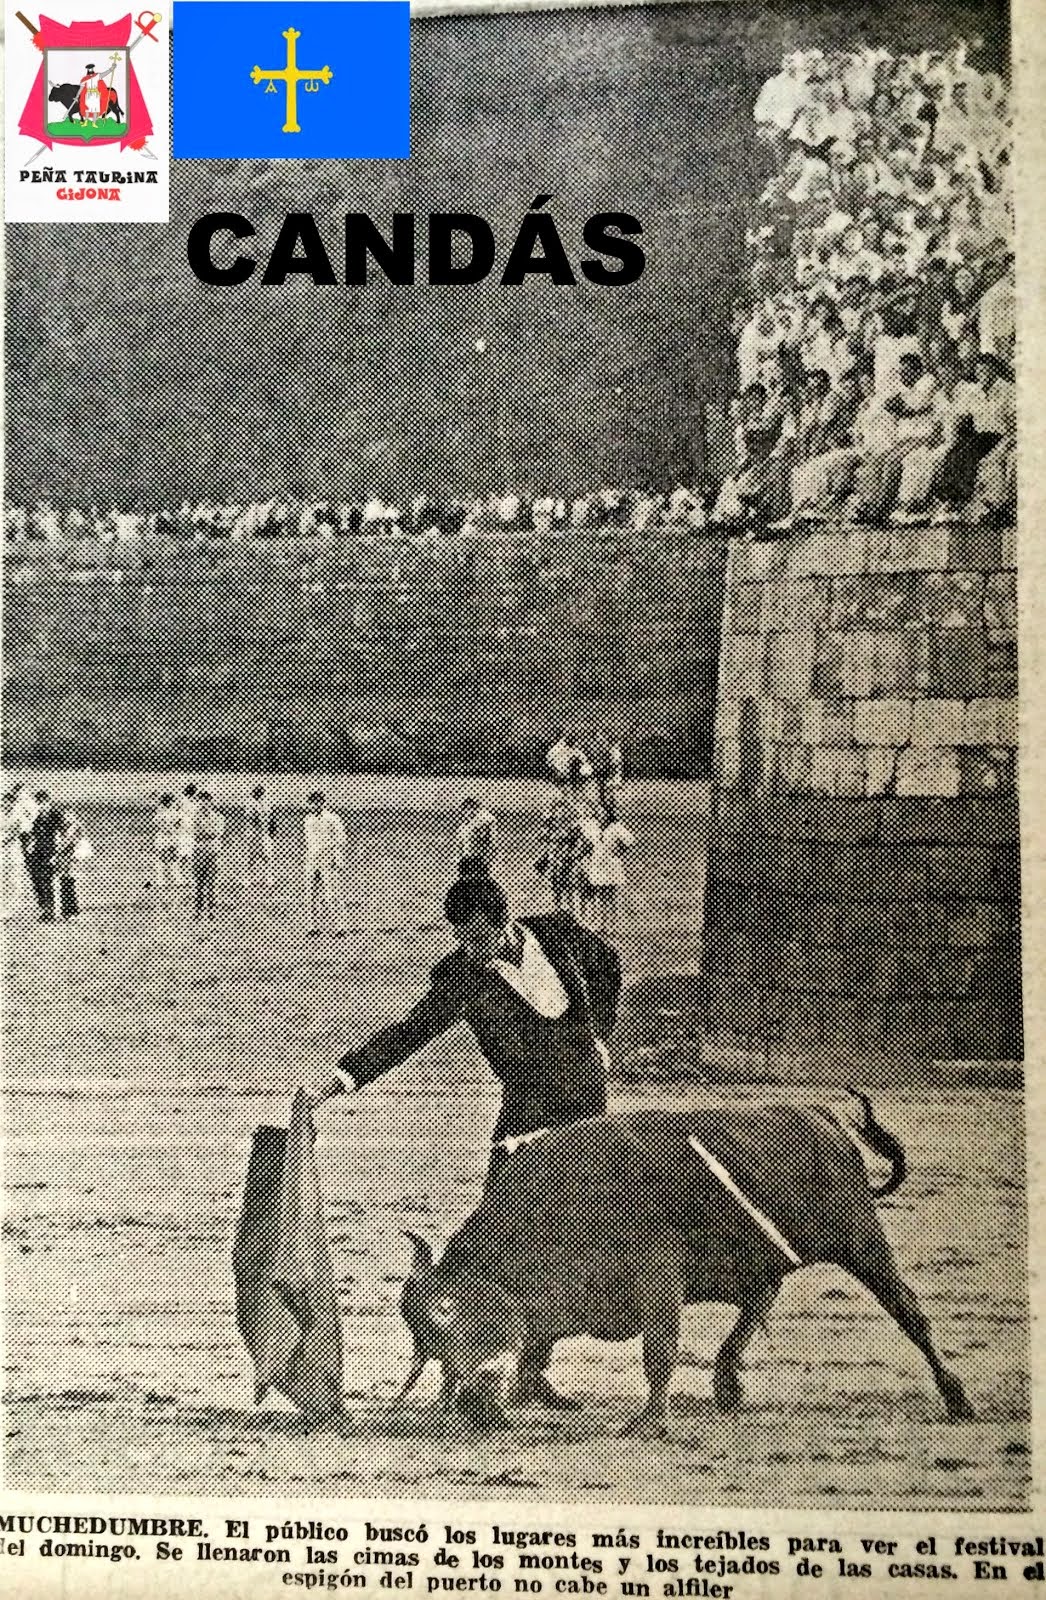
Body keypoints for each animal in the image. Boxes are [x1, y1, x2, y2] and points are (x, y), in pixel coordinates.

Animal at [399, 1107, 972, 1433]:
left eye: (453, 1316)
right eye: (427, 1346)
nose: (467, 1404)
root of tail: (825, 1118)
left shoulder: (658, 1285)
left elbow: (658, 1354)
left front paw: (650, 1422)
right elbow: (535, 1350)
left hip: (862, 1244)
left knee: (909, 1310)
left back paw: (957, 1399)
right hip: (770, 1264)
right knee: (753, 1309)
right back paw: (727, 1388)